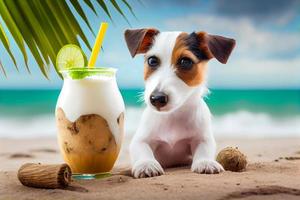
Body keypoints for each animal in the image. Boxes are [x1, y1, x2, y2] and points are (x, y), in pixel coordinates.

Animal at [123, 28, 236, 178]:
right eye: (152, 60)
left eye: (185, 61)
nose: (156, 98)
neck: (173, 115)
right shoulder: (140, 139)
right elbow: (142, 149)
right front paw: (146, 164)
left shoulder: (203, 138)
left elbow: (204, 149)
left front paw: (205, 162)